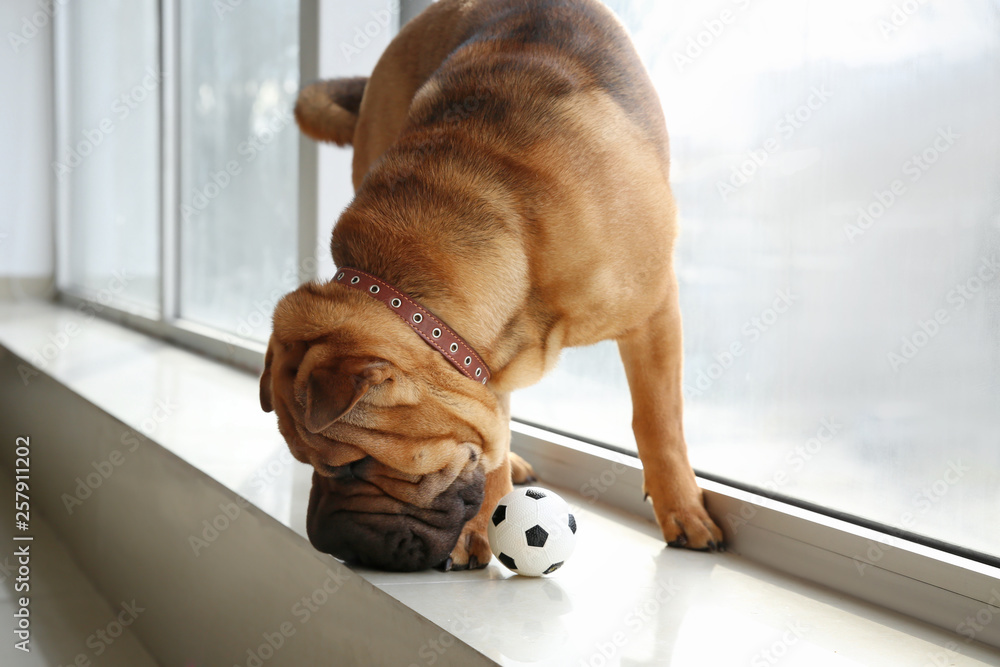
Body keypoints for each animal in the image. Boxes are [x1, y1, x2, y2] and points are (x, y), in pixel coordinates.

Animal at [262, 0, 724, 576]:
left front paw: (682, 507)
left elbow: (659, 421)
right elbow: (491, 442)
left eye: (352, 466)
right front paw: (481, 527)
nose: (327, 545)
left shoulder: (654, 311)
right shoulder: (485, 361)